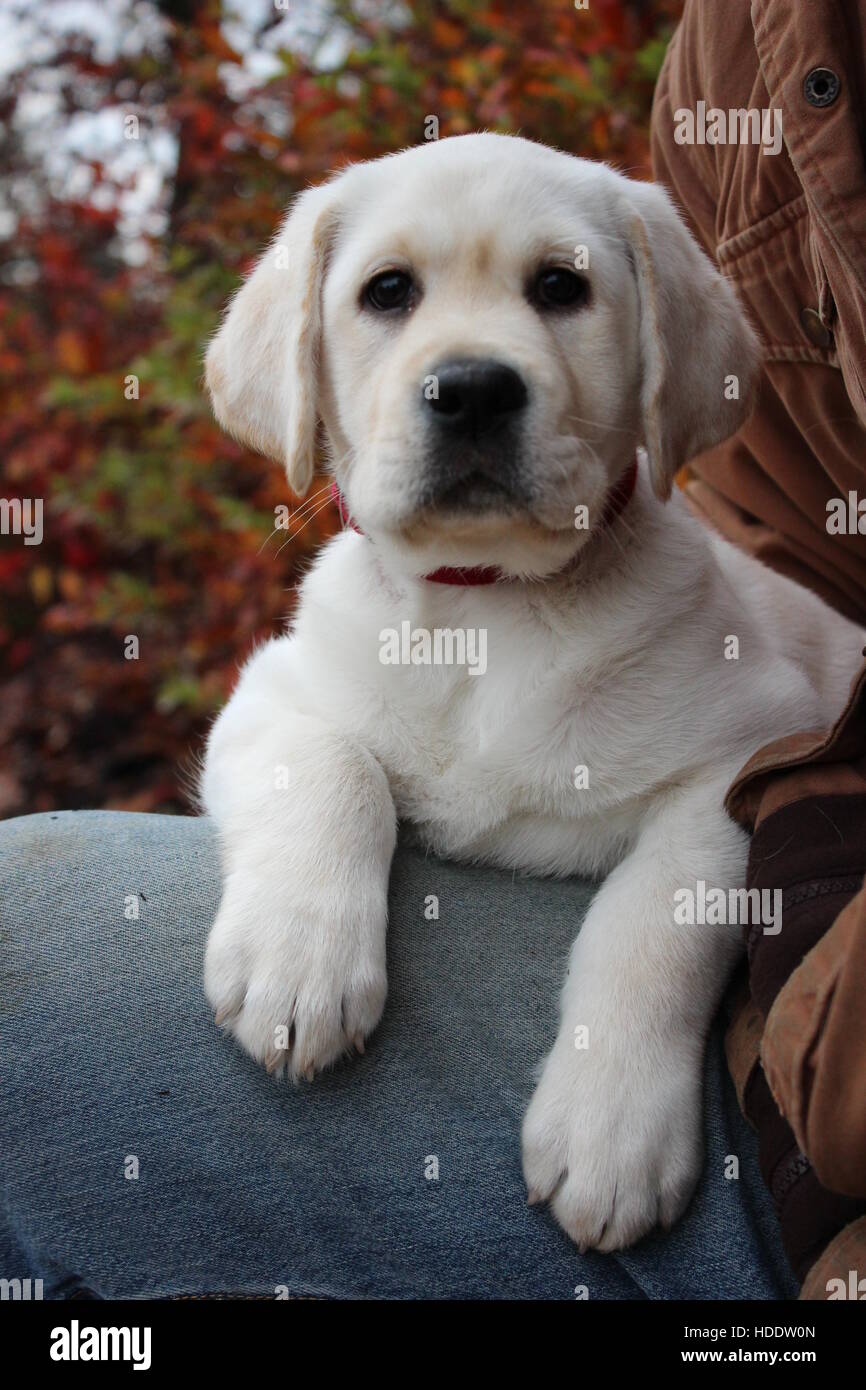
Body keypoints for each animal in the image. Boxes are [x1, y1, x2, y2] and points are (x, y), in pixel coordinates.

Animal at [201, 135, 861, 1256]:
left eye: (561, 288)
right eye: (387, 291)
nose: (471, 389)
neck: (488, 606)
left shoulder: (750, 755)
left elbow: (650, 918)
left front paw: (611, 1127)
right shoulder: (274, 688)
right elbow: (333, 770)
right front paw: (297, 958)